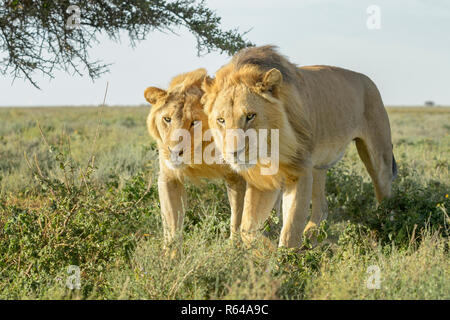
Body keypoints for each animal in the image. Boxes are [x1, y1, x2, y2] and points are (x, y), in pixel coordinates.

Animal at [144, 67, 246, 242]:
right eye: (167, 119)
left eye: (194, 122)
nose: (174, 152)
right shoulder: (169, 177)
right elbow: (172, 227)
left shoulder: (237, 177)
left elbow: (238, 222)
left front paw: (235, 248)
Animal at [203, 46, 398, 249]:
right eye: (221, 120)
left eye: (250, 116)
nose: (234, 153)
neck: (270, 146)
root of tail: (367, 80)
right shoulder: (263, 180)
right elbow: (248, 229)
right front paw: (267, 249)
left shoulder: (299, 170)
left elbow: (290, 228)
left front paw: (284, 256)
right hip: (318, 165)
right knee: (322, 207)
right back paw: (309, 238)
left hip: (378, 156)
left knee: (386, 196)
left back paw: (383, 233)